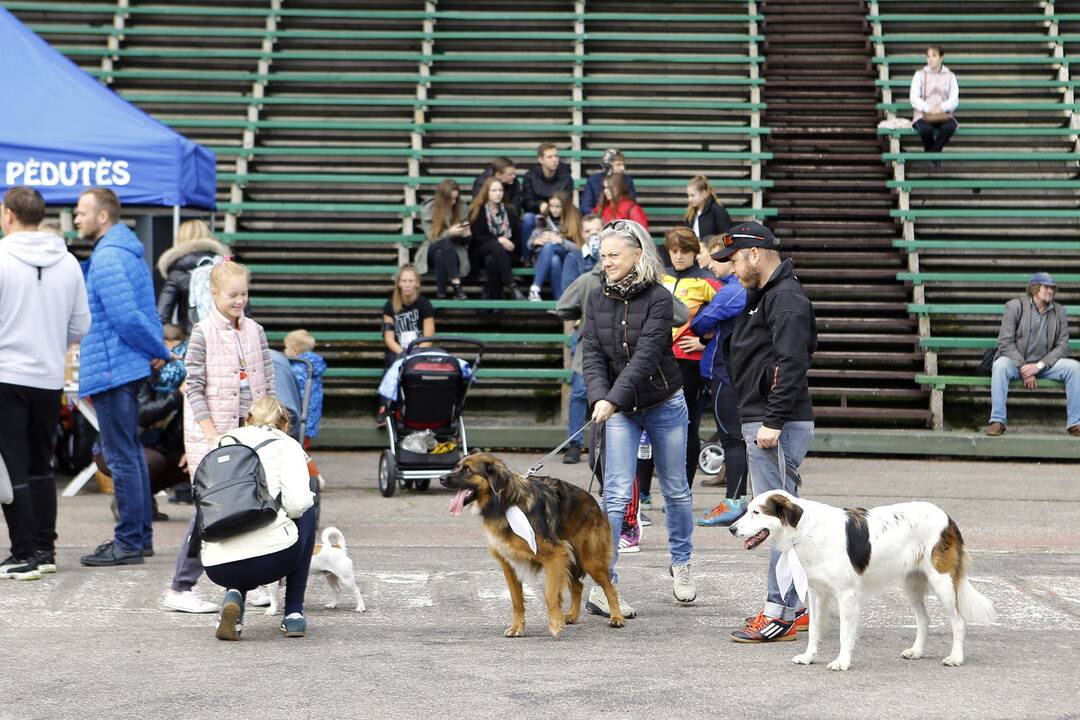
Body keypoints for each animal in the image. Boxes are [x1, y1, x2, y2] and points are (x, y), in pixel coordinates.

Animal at [438, 453, 626, 639]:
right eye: (457, 466)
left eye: (468, 470)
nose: (441, 478)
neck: (505, 503)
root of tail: (593, 500)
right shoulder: (509, 564)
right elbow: (516, 601)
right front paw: (517, 628)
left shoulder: (555, 556)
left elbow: (550, 595)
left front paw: (555, 624)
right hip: (571, 559)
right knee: (578, 586)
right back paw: (572, 615)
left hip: (588, 559)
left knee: (610, 588)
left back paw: (616, 617)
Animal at [734, 490, 993, 669]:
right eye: (748, 510)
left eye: (756, 512)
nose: (732, 529)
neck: (807, 530)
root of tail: (947, 518)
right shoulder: (817, 593)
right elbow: (815, 630)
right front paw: (809, 657)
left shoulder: (847, 595)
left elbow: (844, 633)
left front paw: (842, 662)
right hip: (912, 584)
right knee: (924, 619)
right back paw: (916, 651)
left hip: (943, 583)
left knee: (958, 622)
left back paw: (956, 657)